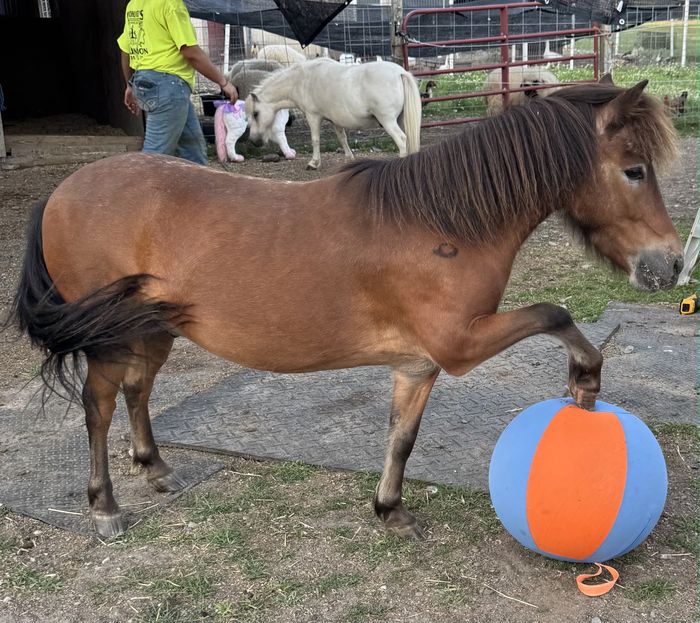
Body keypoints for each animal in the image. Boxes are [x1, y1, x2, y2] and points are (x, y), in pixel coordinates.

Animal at [9, 78, 682, 540]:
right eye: (634, 170)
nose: (671, 264)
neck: (441, 224)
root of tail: (62, 192)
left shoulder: (418, 364)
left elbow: (402, 438)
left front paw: (390, 510)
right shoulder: (459, 345)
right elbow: (554, 314)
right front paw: (585, 379)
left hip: (153, 329)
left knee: (137, 391)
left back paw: (155, 469)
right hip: (112, 338)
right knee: (98, 409)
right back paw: (104, 506)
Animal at [245, 58, 422, 170]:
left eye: (256, 113)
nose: (253, 141)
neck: (301, 79)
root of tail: (400, 73)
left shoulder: (313, 116)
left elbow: (315, 140)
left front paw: (314, 163)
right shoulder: (335, 120)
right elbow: (342, 138)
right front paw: (349, 158)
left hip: (388, 121)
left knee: (402, 140)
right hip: (401, 120)